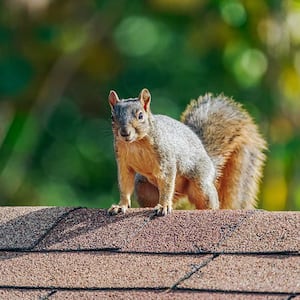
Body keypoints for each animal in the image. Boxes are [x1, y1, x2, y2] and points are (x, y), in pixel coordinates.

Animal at [108, 87, 268, 216]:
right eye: (112, 117)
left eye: (140, 116)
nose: (124, 133)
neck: (136, 143)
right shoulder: (123, 163)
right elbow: (124, 185)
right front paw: (121, 206)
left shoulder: (166, 158)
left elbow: (167, 183)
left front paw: (164, 206)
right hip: (143, 188)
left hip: (201, 184)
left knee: (208, 200)